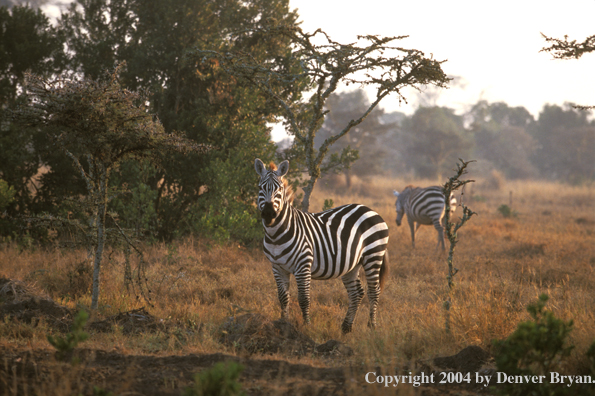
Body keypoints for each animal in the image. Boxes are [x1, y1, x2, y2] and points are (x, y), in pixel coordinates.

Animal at [255, 158, 392, 334]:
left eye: (279, 189)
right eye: (260, 187)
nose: (269, 214)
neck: (276, 235)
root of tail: (369, 209)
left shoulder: (303, 265)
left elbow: (304, 298)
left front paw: (307, 326)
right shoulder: (277, 267)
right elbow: (283, 297)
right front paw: (283, 324)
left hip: (373, 255)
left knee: (374, 291)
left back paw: (372, 326)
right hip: (351, 264)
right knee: (356, 293)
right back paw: (346, 327)